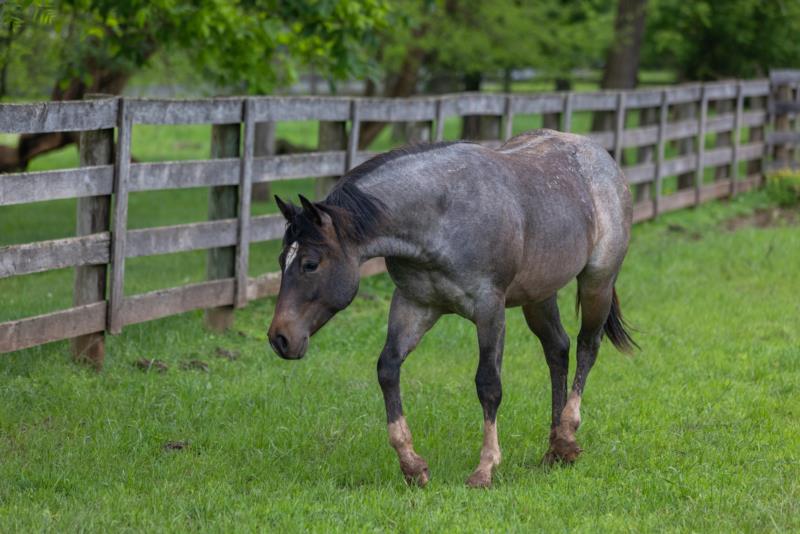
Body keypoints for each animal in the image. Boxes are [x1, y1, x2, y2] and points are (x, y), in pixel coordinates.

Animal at [268, 129, 636, 488]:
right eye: (281, 260)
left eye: (310, 264)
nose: (279, 338)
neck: (441, 217)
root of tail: (602, 158)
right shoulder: (414, 304)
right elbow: (387, 369)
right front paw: (412, 465)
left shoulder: (489, 309)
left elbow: (488, 384)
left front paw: (485, 468)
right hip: (539, 294)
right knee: (557, 349)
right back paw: (556, 448)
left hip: (597, 282)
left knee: (587, 346)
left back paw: (568, 434)